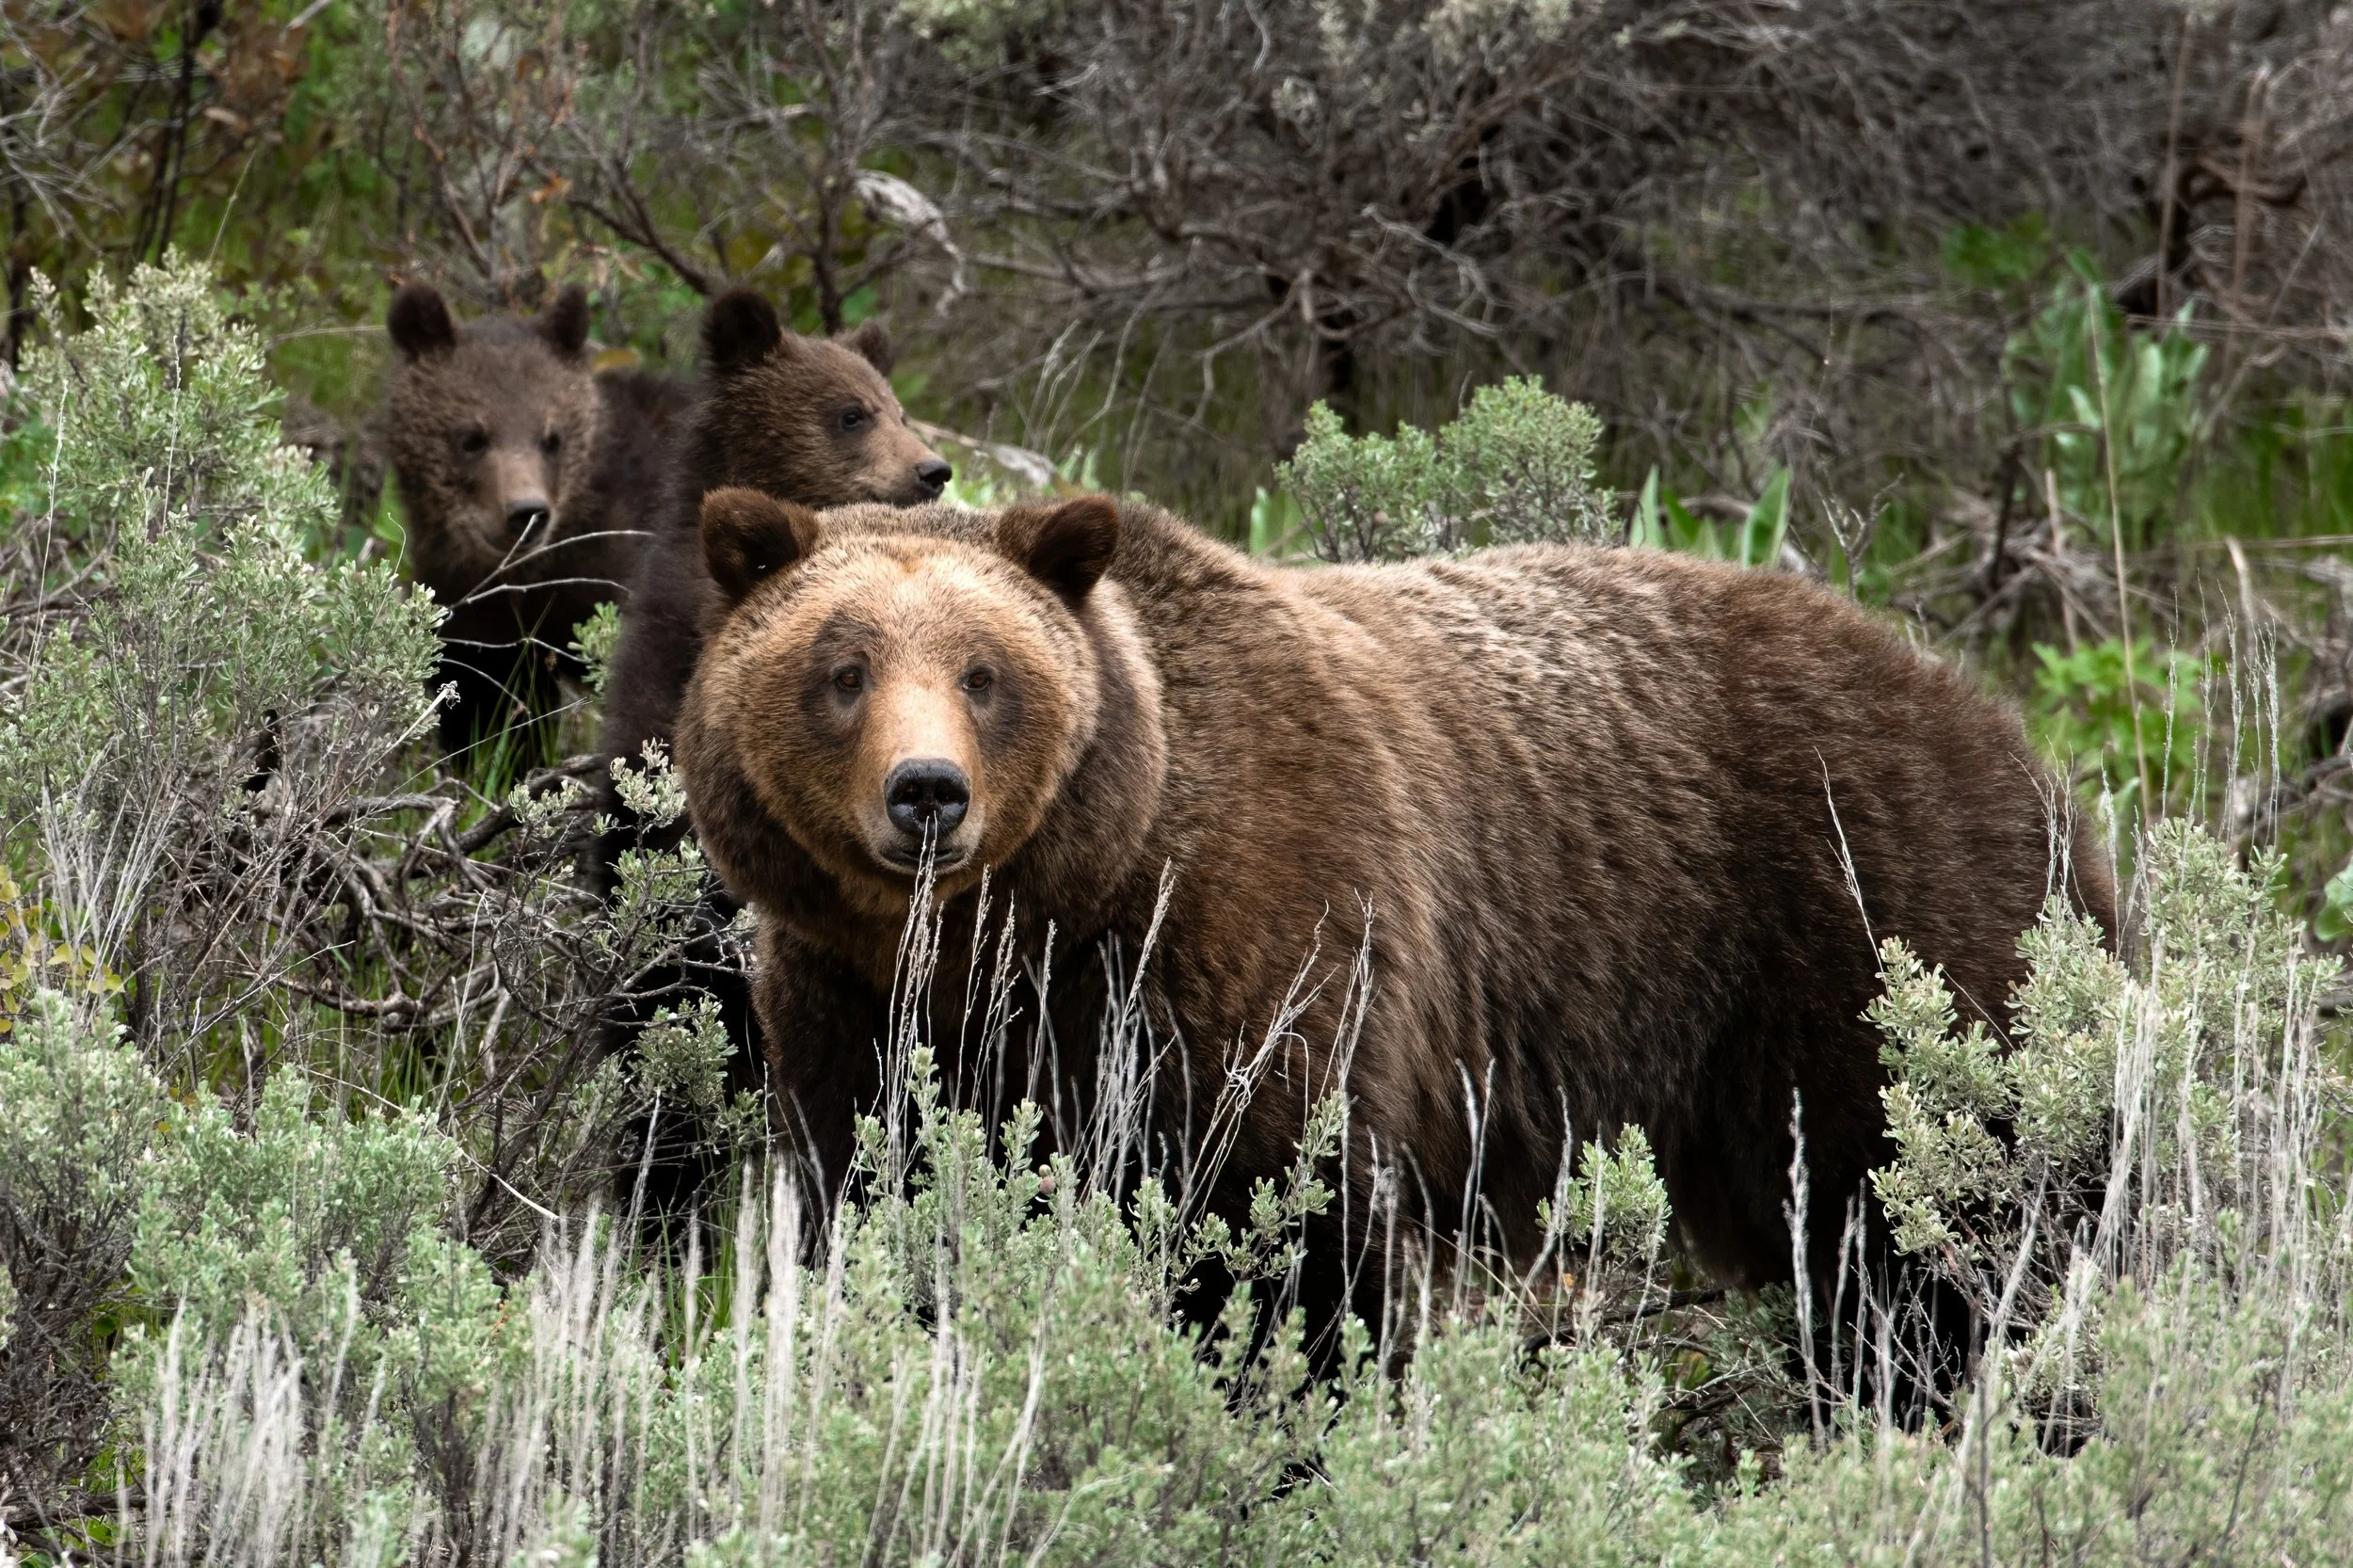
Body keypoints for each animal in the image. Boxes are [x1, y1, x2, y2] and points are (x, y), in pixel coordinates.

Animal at [671, 488, 2117, 1362]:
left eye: (985, 674)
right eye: (842, 669)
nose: (928, 794)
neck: (1023, 928)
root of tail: (1994, 717)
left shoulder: (1251, 951)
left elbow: (1283, 1231)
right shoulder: (850, 1009)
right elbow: (879, 1198)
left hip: (1869, 922)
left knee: (1957, 1193)